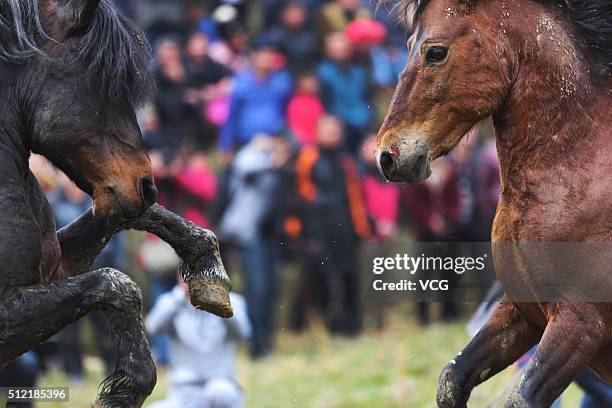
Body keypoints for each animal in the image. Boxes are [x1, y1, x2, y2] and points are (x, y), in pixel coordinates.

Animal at [0, 1, 232, 406]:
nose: (146, 185)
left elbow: (130, 222)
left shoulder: (54, 272)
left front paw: (209, 271)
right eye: (102, 80)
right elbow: (117, 284)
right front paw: (127, 389)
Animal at [378, 0, 612, 406]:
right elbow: (452, 379)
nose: (387, 156)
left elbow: (520, 397)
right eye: (407, 44)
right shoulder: (523, 312)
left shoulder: (580, 323)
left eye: (435, 52)